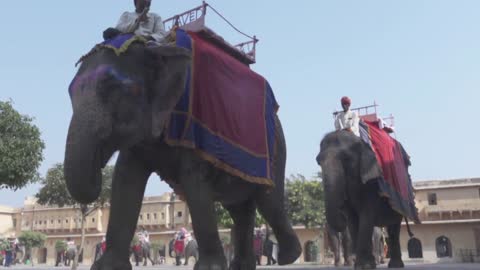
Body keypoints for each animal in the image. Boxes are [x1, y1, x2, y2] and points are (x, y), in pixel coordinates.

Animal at [63, 36, 300, 270]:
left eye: (112, 88)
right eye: (70, 93)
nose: (99, 164)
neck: (157, 50)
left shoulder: (193, 129)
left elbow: (194, 182)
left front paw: (210, 268)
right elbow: (126, 180)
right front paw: (107, 267)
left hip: (275, 150)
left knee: (268, 200)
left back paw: (289, 256)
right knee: (240, 209)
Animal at [316, 130, 408, 268]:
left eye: (346, 159)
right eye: (318, 161)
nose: (340, 210)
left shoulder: (372, 184)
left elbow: (366, 216)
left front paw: (364, 266)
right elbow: (353, 220)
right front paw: (362, 265)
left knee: (393, 228)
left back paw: (395, 265)